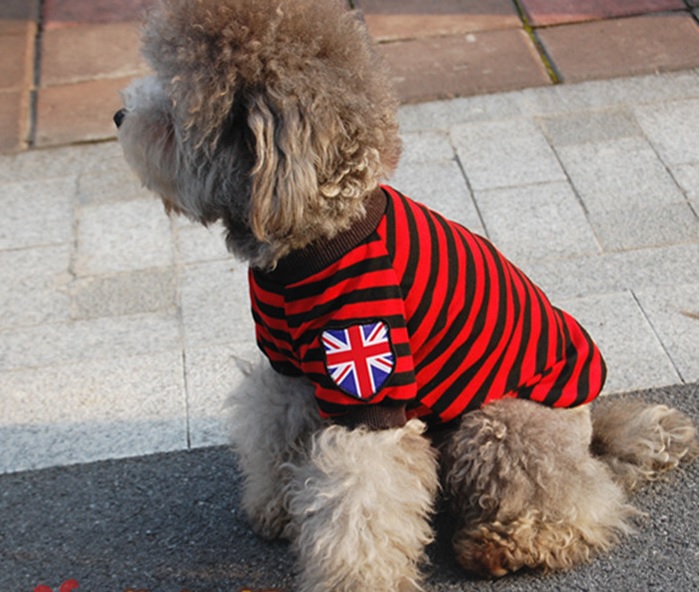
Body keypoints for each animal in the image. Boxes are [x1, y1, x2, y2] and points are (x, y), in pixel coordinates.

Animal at [115, 2, 699, 588]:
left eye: (172, 110)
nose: (118, 116)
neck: (314, 242)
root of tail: (593, 432)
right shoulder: (290, 370)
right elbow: (275, 436)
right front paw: (276, 508)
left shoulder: (367, 379)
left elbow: (360, 503)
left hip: (502, 423)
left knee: (582, 506)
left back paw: (508, 543)